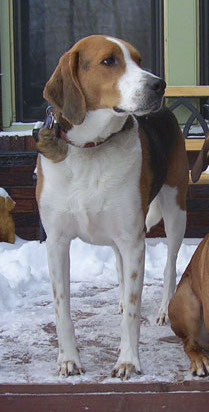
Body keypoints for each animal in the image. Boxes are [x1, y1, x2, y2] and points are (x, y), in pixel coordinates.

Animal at [35, 35, 189, 380]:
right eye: (109, 61)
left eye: (139, 59)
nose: (159, 85)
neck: (91, 148)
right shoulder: (56, 243)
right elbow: (61, 307)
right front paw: (68, 359)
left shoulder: (133, 241)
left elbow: (132, 310)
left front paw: (128, 361)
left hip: (176, 210)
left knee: (170, 265)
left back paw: (164, 308)